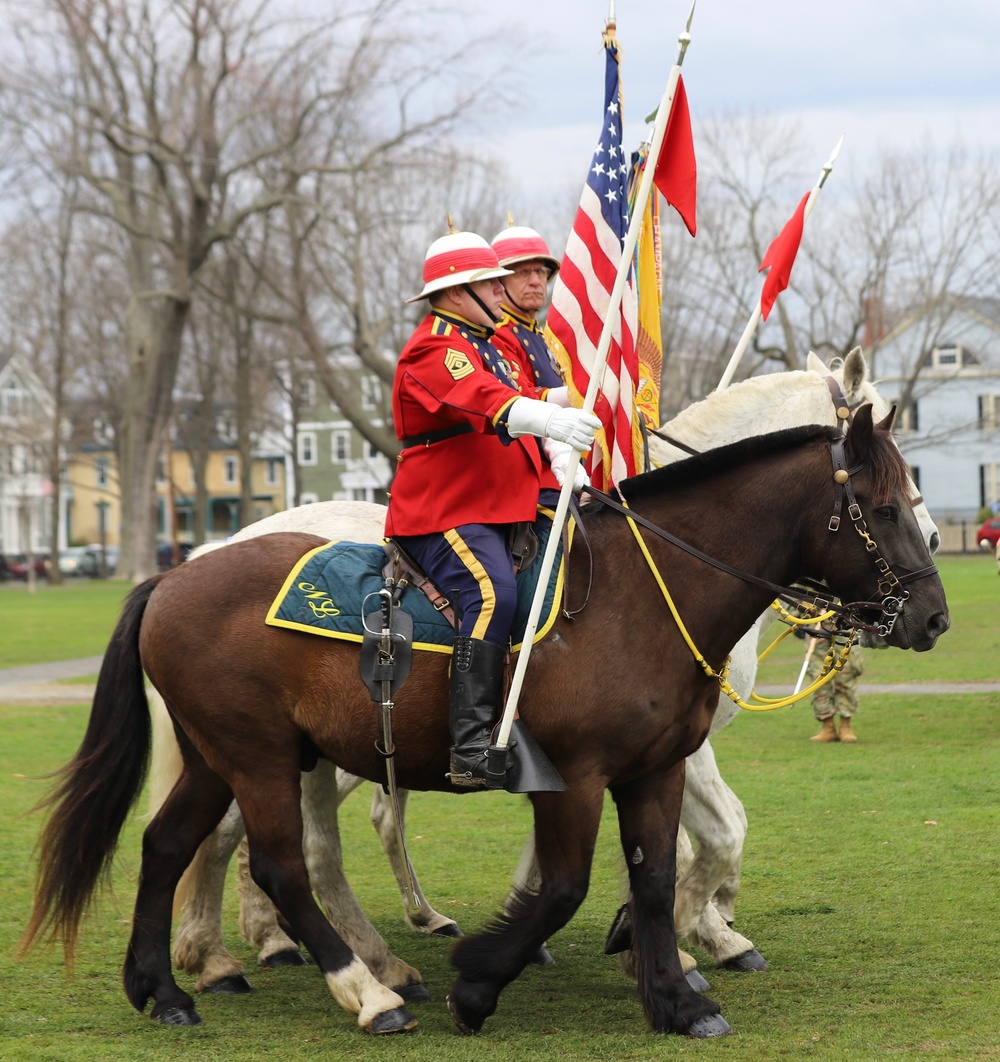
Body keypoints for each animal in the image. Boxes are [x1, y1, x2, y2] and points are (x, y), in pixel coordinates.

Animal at [21, 409, 946, 1040]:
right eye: (880, 507)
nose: (932, 616)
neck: (646, 594)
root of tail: (175, 576)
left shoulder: (656, 768)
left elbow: (653, 877)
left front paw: (675, 995)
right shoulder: (574, 777)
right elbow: (566, 886)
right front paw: (481, 980)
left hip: (226, 755)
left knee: (171, 845)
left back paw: (168, 987)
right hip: (260, 757)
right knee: (284, 863)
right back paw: (369, 990)